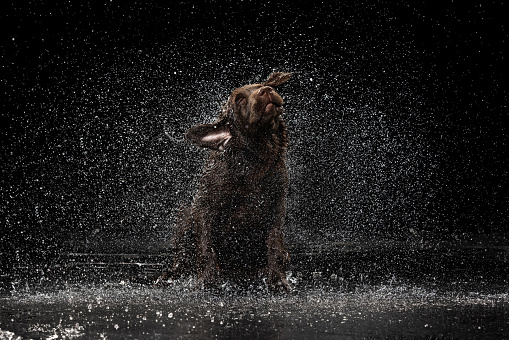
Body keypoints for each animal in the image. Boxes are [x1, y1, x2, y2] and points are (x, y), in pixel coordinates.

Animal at [161, 71, 292, 290]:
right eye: (239, 100)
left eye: (261, 85)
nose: (266, 90)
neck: (253, 161)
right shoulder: (204, 209)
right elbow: (205, 248)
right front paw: (207, 281)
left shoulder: (276, 208)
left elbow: (275, 247)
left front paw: (278, 280)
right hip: (185, 218)